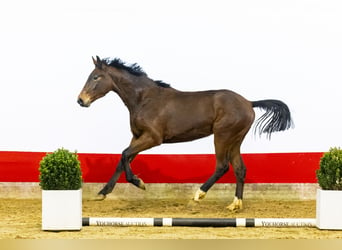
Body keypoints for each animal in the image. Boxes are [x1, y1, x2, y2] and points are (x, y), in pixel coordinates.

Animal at [78, 55, 294, 210]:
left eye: (95, 77)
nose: (81, 100)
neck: (144, 99)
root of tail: (249, 102)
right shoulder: (137, 136)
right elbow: (123, 159)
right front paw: (103, 192)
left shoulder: (153, 138)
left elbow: (124, 155)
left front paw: (139, 183)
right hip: (235, 139)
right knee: (240, 168)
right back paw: (235, 204)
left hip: (222, 136)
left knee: (222, 166)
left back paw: (198, 195)